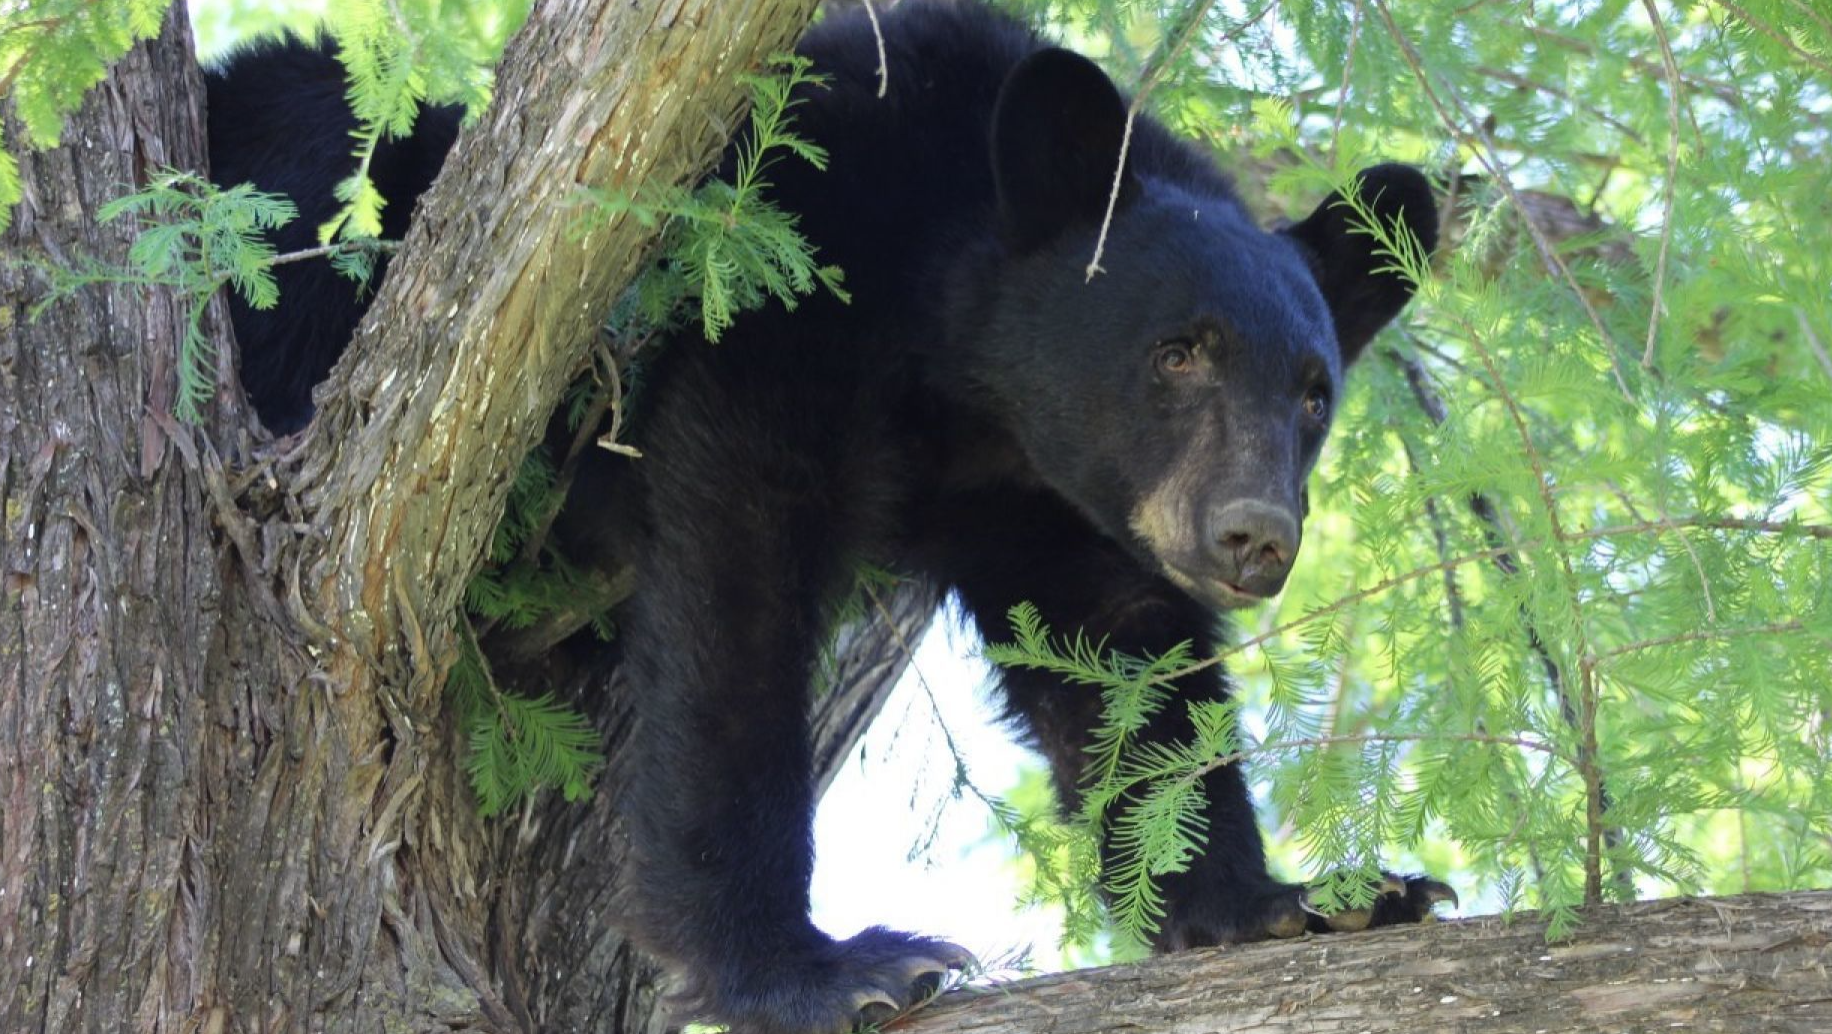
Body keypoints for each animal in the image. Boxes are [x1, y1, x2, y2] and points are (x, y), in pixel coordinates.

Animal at [207, 2, 1450, 1034]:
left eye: (1311, 393)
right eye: (1177, 350)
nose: (1253, 536)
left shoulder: (1047, 491)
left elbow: (1124, 662)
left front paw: (1294, 896)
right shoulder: (784, 273)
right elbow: (736, 585)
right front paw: (817, 965)